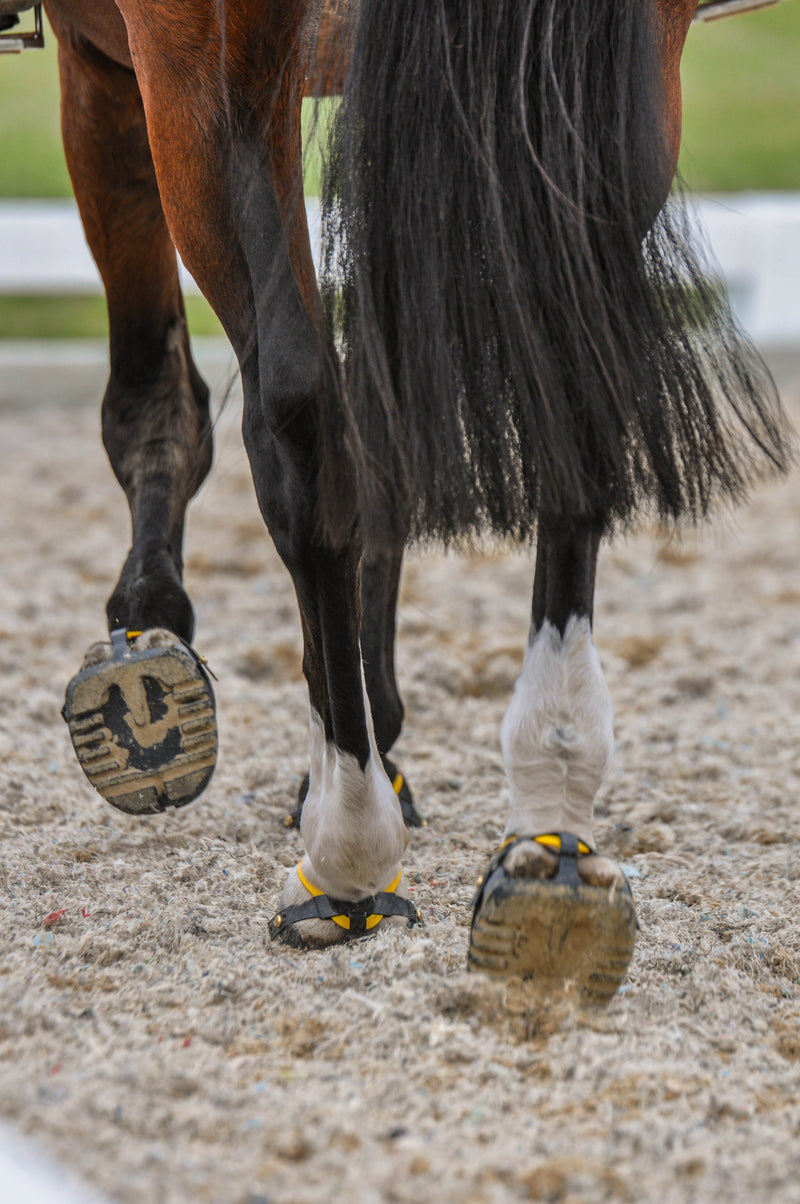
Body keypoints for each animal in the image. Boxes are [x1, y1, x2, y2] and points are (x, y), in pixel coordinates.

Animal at [11, 0, 789, 1003]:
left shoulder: (103, 64)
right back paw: (550, 820)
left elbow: (158, 394)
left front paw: (144, 637)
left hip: (203, 72)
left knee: (295, 414)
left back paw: (346, 851)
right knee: (567, 371)